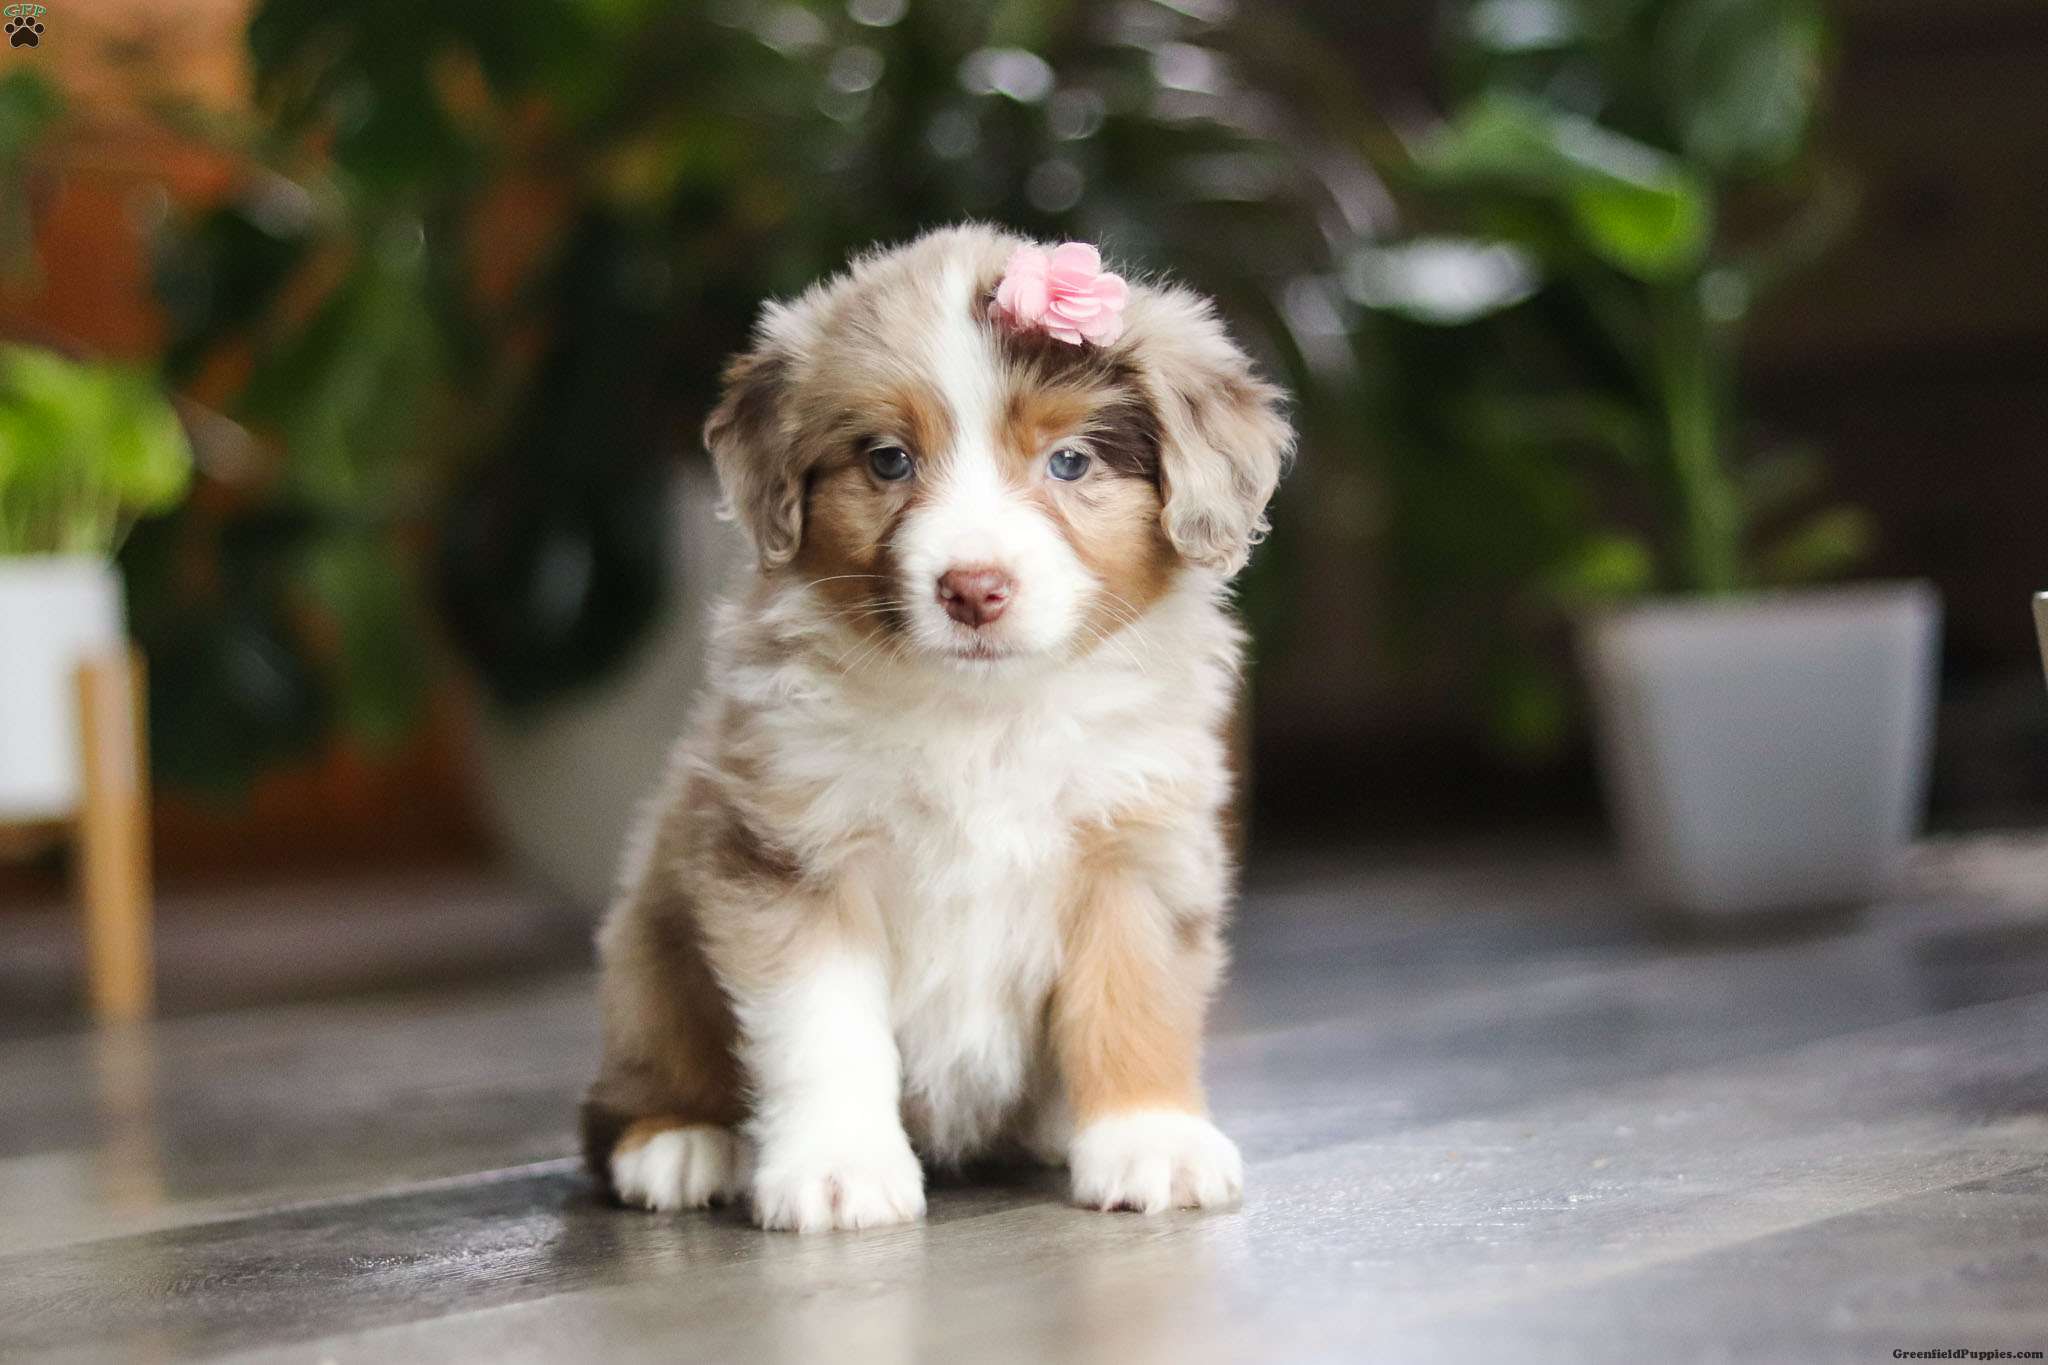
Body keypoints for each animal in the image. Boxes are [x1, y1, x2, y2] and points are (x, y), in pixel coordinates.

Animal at [581, 224, 1292, 1231]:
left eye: (1069, 462)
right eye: (888, 460)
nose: (973, 589)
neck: (981, 714)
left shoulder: (1136, 846)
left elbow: (1132, 997)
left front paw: (1151, 1139)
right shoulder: (792, 852)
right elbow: (824, 1026)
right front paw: (838, 1167)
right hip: (648, 944)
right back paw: (679, 1142)